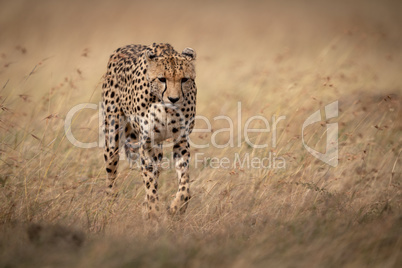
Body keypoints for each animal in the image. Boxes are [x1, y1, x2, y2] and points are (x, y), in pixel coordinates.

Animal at [101, 42, 197, 218]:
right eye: (162, 79)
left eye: (184, 79)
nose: (173, 99)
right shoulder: (146, 141)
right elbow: (149, 179)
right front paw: (152, 210)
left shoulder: (181, 139)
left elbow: (184, 180)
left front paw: (177, 207)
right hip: (112, 135)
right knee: (111, 169)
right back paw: (110, 204)